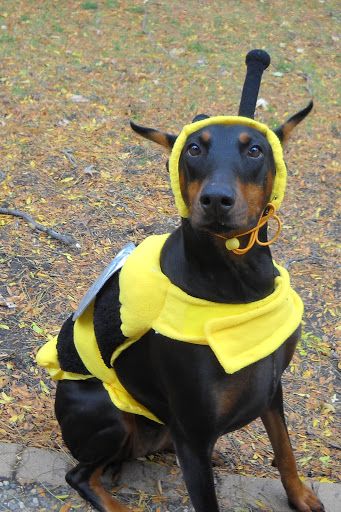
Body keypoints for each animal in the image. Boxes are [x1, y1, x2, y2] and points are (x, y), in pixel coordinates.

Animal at [38, 52, 322, 512]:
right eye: (193, 148)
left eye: (255, 149)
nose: (216, 200)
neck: (238, 285)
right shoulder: (193, 431)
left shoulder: (271, 386)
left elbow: (284, 449)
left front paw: (300, 496)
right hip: (109, 414)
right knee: (80, 474)